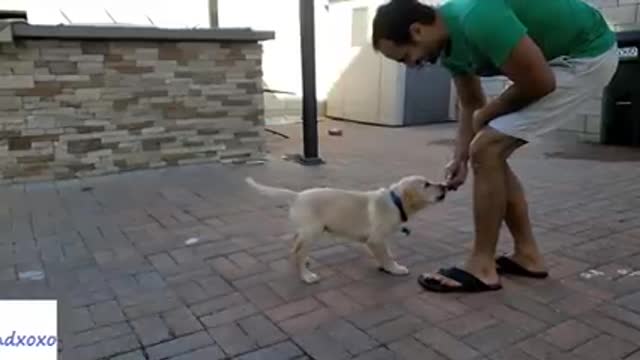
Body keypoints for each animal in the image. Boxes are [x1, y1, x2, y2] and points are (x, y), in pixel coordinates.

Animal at [244, 176, 444, 284]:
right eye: (426, 184)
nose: (444, 185)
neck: (396, 202)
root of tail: (297, 195)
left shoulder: (380, 239)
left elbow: (386, 252)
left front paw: (387, 264)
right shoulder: (376, 239)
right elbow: (386, 255)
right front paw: (394, 268)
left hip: (304, 231)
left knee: (295, 247)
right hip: (313, 231)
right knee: (299, 252)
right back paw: (306, 276)